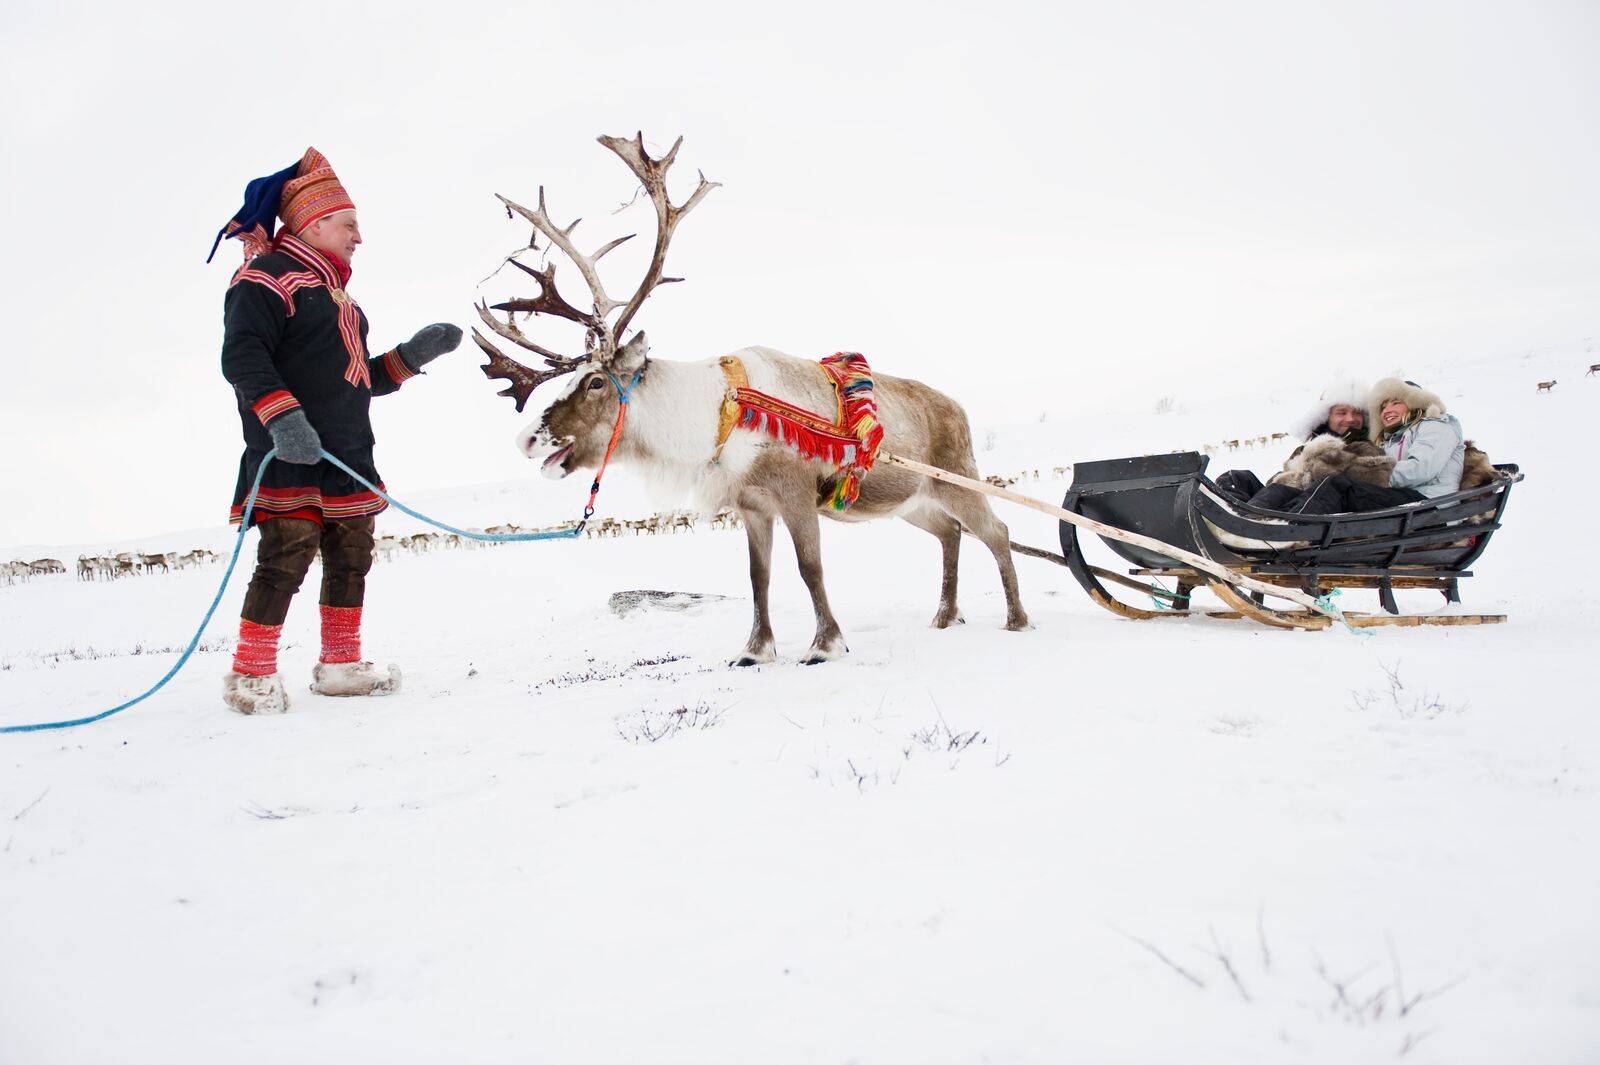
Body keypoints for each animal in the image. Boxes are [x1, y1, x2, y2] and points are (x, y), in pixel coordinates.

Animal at [474, 133, 1029, 665]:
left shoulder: (796, 494)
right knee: (950, 533)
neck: (715, 417)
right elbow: (757, 577)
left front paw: (825, 645)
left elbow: (810, 568)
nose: (527, 439)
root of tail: (958, 409)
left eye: (595, 382)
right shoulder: (752, 505)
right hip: (912, 500)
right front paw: (755, 649)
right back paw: (945, 616)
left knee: (997, 531)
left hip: (957, 478)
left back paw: (1016, 619)